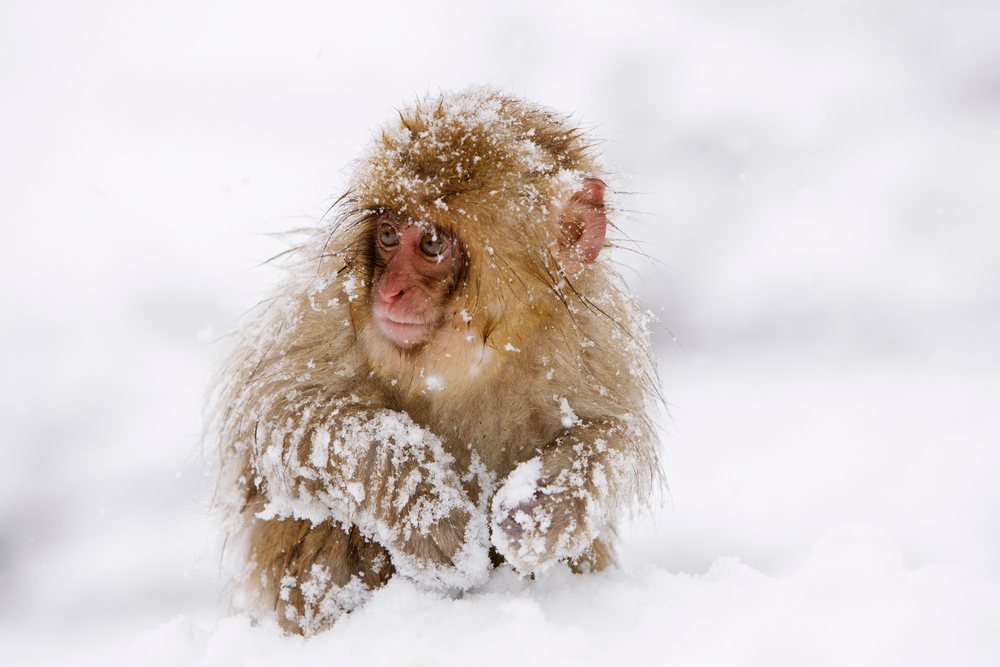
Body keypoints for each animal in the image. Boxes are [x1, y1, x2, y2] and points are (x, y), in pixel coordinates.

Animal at [209, 88, 662, 635]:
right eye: (387, 234)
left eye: (430, 243)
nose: (389, 292)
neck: (474, 357)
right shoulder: (329, 306)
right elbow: (280, 415)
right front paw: (428, 512)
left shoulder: (593, 340)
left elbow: (614, 435)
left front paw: (545, 508)